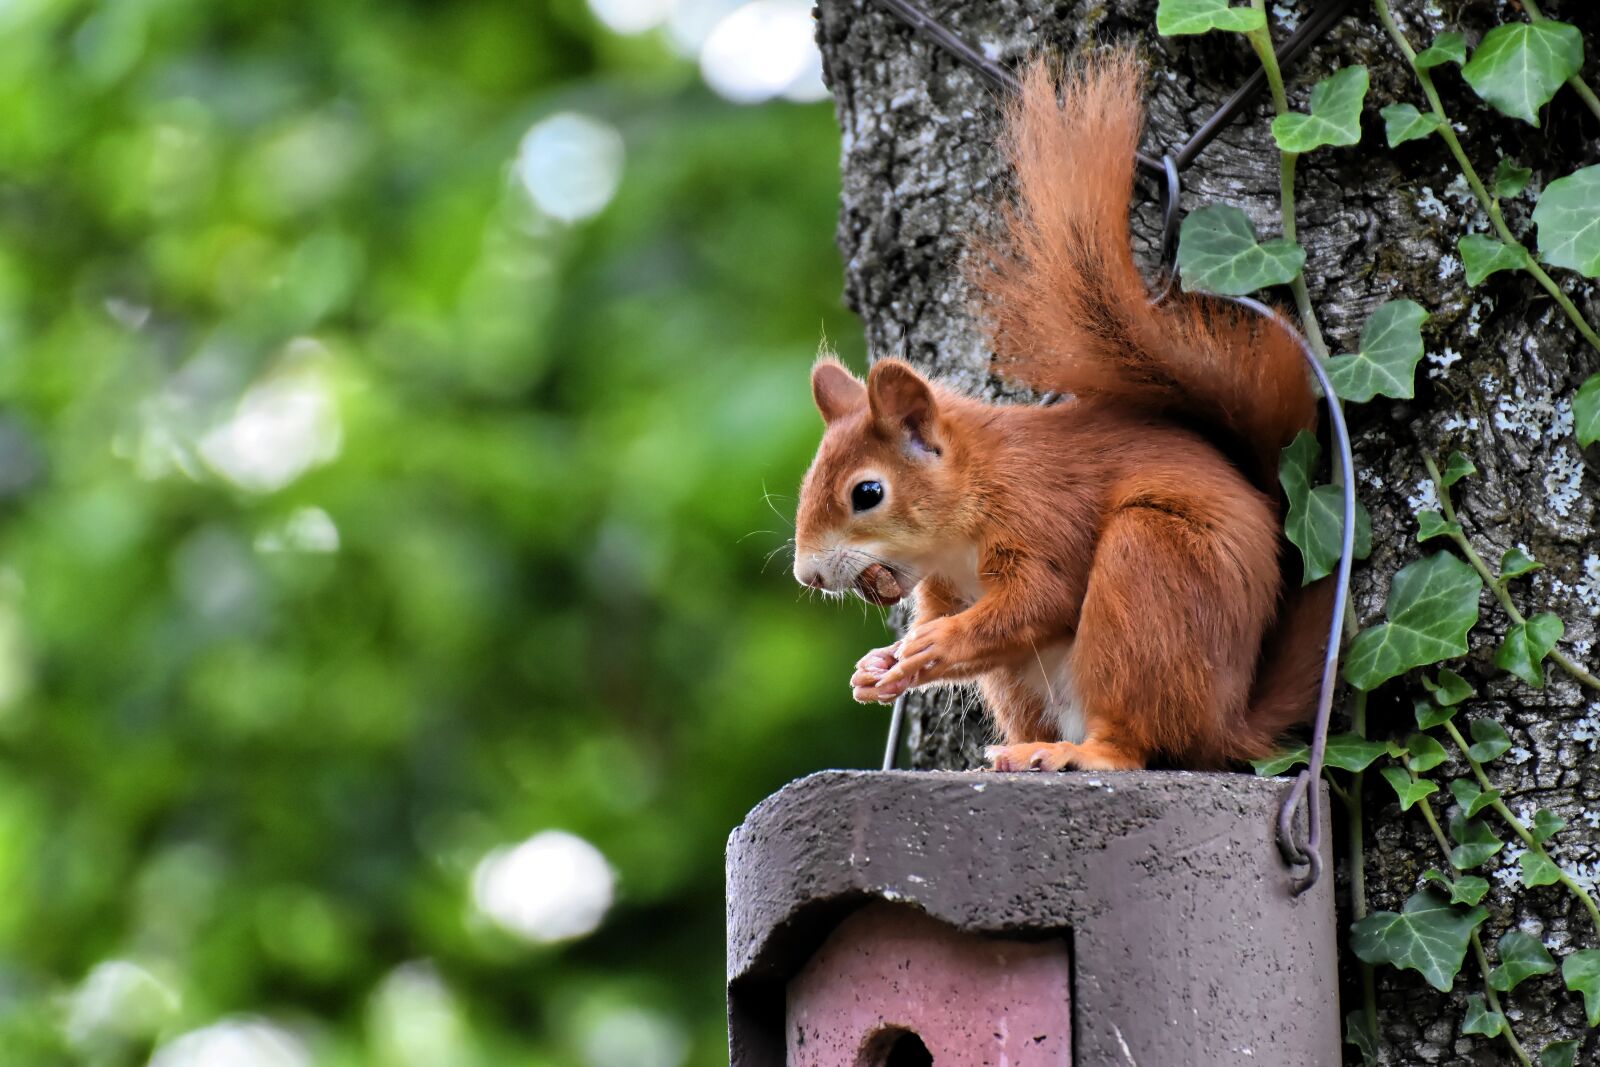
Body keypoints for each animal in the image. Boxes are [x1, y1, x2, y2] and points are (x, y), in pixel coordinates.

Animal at [791, 51, 1332, 772]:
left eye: (867, 493)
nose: (809, 573)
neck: (961, 521)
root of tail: (1229, 724)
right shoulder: (945, 586)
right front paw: (880, 665)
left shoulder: (1042, 509)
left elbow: (1041, 598)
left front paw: (934, 645)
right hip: (1025, 680)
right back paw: (1017, 752)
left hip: (1151, 571)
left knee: (1134, 743)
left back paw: (1077, 754)